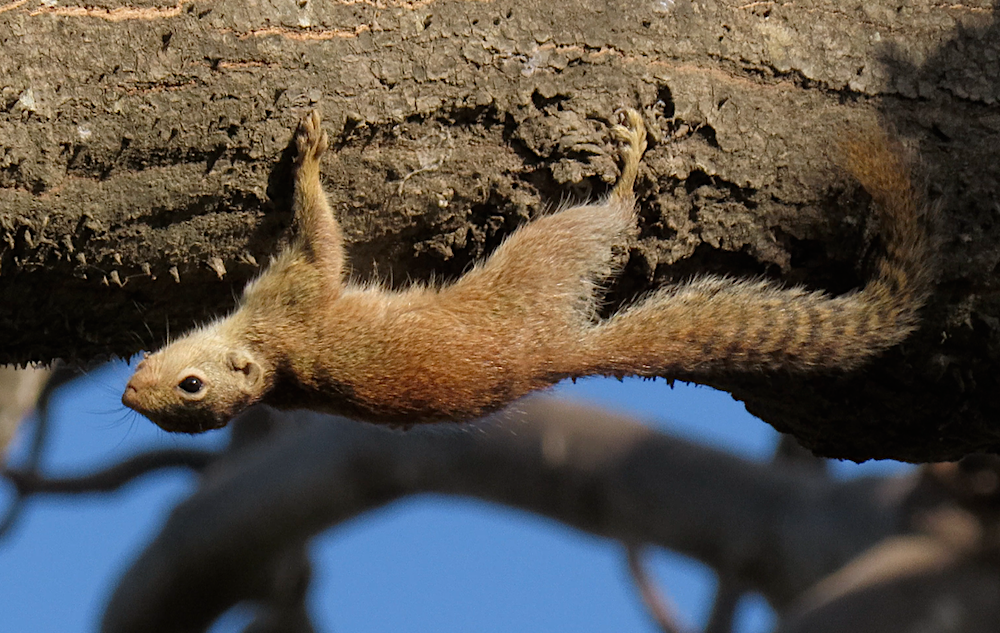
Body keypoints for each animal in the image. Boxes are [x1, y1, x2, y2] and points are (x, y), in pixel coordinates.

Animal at [122, 109, 932, 433]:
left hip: (542, 255)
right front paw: (311, 158)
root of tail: (557, 354)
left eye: (189, 388)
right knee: (612, 222)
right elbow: (323, 241)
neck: (275, 363)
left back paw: (630, 163)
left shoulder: (293, 297)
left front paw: (309, 159)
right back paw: (630, 169)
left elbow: (323, 241)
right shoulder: (293, 298)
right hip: (546, 255)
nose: (128, 393)